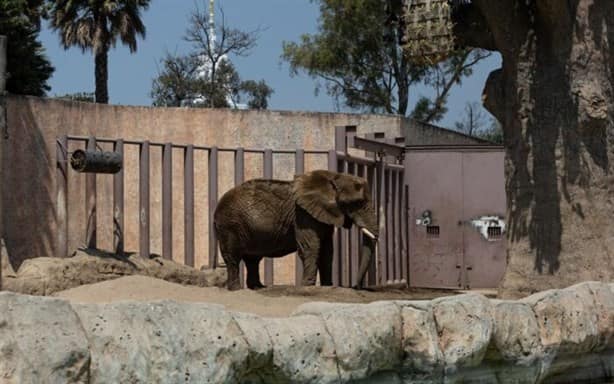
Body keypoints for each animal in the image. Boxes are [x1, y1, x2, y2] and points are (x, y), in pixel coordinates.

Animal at [215, 170, 380, 290]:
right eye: (357, 203)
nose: (356, 286)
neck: (333, 177)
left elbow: (327, 250)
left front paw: (327, 286)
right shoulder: (303, 214)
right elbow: (311, 247)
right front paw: (308, 286)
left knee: (252, 259)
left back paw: (258, 288)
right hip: (229, 224)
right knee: (233, 257)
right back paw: (236, 289)